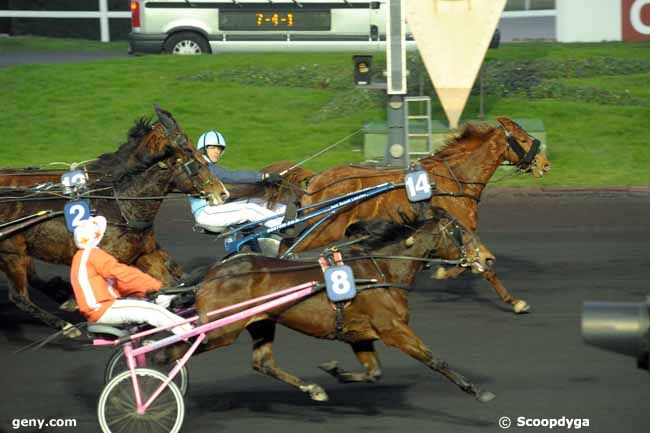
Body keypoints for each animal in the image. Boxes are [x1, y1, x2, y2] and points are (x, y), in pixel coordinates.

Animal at [0, 106, 228, 336]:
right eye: (190, 152)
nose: (223, 192)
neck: (122, 206)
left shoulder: (145, 253)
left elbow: (167, 278)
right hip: (13, 254)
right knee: (19, 297)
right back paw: (66, 325)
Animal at [162, 209, 496, 402]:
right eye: (462, 231)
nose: (488, 258)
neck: (381, 271)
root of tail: (213, 272)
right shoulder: (394, 329)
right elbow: (434, 359)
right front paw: (476, 390)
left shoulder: (360, 334)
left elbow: (374, 373)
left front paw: (335, 371)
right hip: (222, 329)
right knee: (175, 350)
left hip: (261, 321)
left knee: (263, 362)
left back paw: (313, 389)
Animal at [284, 116, 548, 312]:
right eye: (523, 139)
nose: (545, 164)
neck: (455, 179)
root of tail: (315, 179)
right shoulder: (457, 227)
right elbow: (478, 265)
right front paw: (514, 301)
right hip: (325, 228)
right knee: (290, 251)